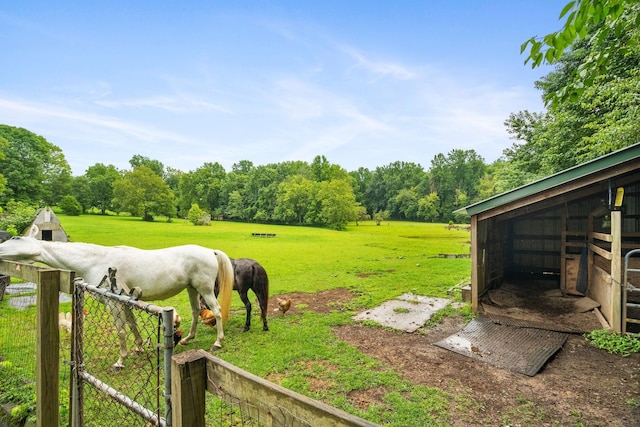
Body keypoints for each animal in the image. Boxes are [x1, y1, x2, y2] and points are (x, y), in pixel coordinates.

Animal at [0, 226, 235, 370]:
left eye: (15, 238)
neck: (95, 260)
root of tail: (210, 251)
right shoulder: (126, 302)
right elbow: (132, 326)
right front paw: (139, 347)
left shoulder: (113, 303)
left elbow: (121, 330)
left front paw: (120, 360)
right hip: (192, 289)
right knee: (196, 312)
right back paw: (187, 338)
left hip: (204, 289)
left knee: (216, 312)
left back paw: (218, 342)